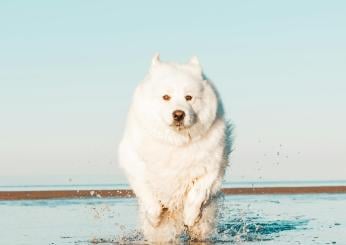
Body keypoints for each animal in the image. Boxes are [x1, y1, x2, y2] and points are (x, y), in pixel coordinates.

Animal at [119, 53, 232, 241]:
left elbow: (197, 192)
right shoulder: (132, 160)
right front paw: (155, 217)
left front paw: (190, 216)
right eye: (166, 97)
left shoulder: (213, 165)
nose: (179, 114)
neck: (176, 142)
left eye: (189, 97)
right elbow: (146, 191)